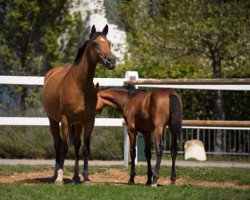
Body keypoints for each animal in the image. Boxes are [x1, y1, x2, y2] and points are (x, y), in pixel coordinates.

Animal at [42, 25, 116, 184]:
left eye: (109, 43)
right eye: (95, 43)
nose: (112, 60)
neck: (79, 85)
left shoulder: (89, 121)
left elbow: (85, 148)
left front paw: (86, 178)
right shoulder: (65, 120)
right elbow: (64, 147)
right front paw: (59, 178)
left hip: (77, 123)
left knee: (76, 145)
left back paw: (76, 176)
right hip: (53, 121)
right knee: (57, 144)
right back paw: (54, 175)